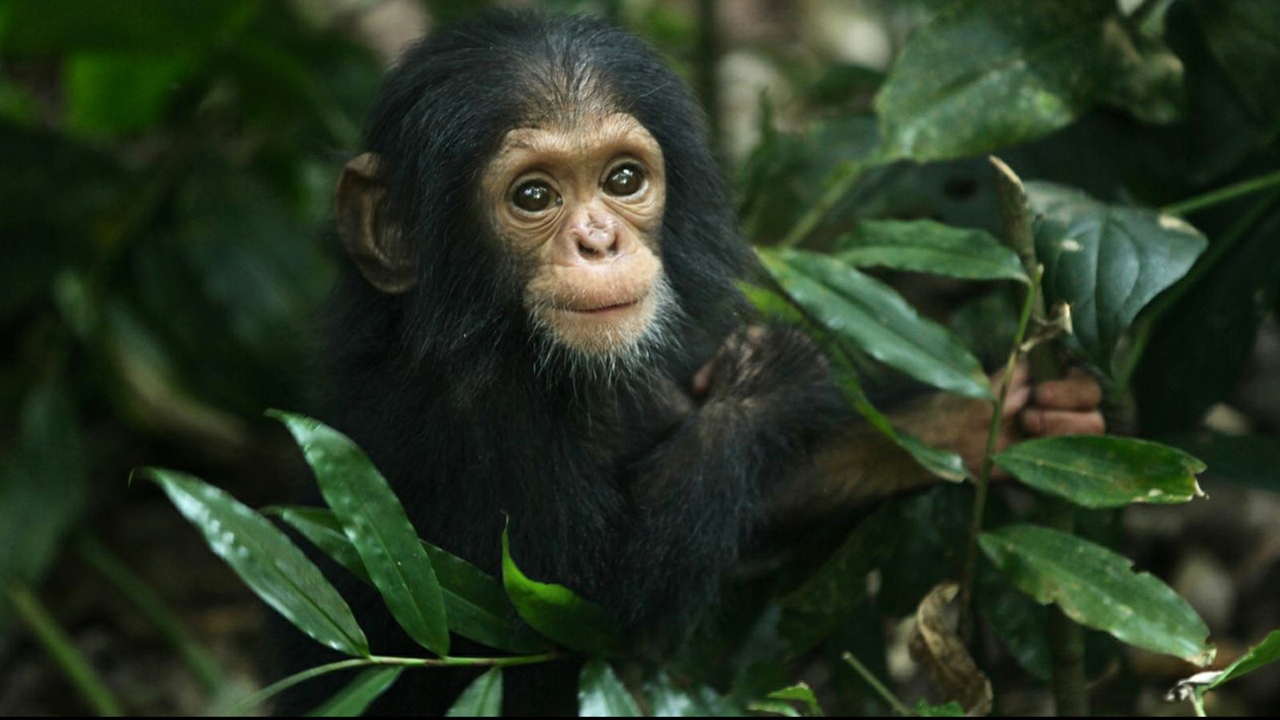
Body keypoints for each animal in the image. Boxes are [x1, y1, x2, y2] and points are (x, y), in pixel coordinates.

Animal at [277, 10, 1104, 716]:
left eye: (622, 180)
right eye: (533, 195)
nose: (599, 241)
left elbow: (766, 492)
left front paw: (999, 416)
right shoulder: (479, 415)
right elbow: (599, 606)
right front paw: (770, 382)